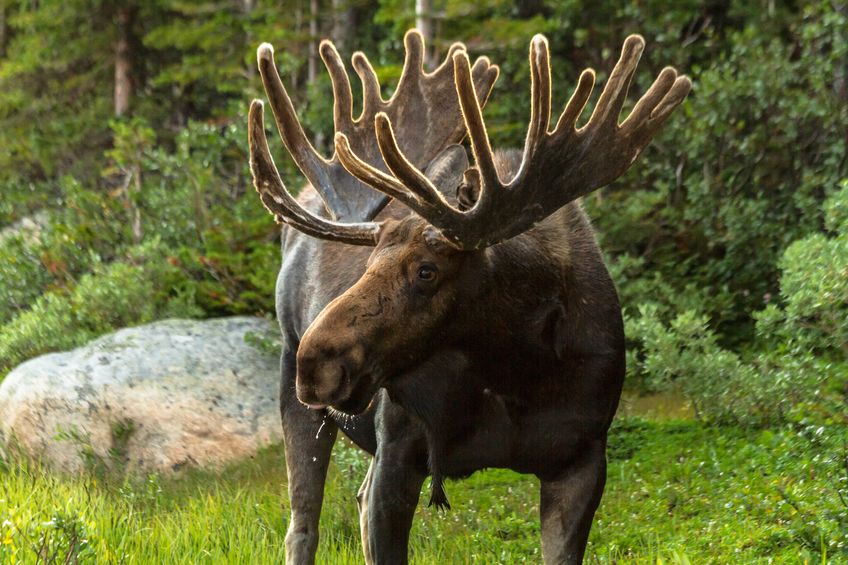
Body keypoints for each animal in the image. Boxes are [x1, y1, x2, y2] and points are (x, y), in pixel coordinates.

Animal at [248, 29, 690, 565]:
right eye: (368, 264)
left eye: (426, 271)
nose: (317, 363)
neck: (515, 369)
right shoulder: (399, 454)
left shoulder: (582, 459)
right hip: (298, 398)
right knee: (302, 527)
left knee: (352, 498)